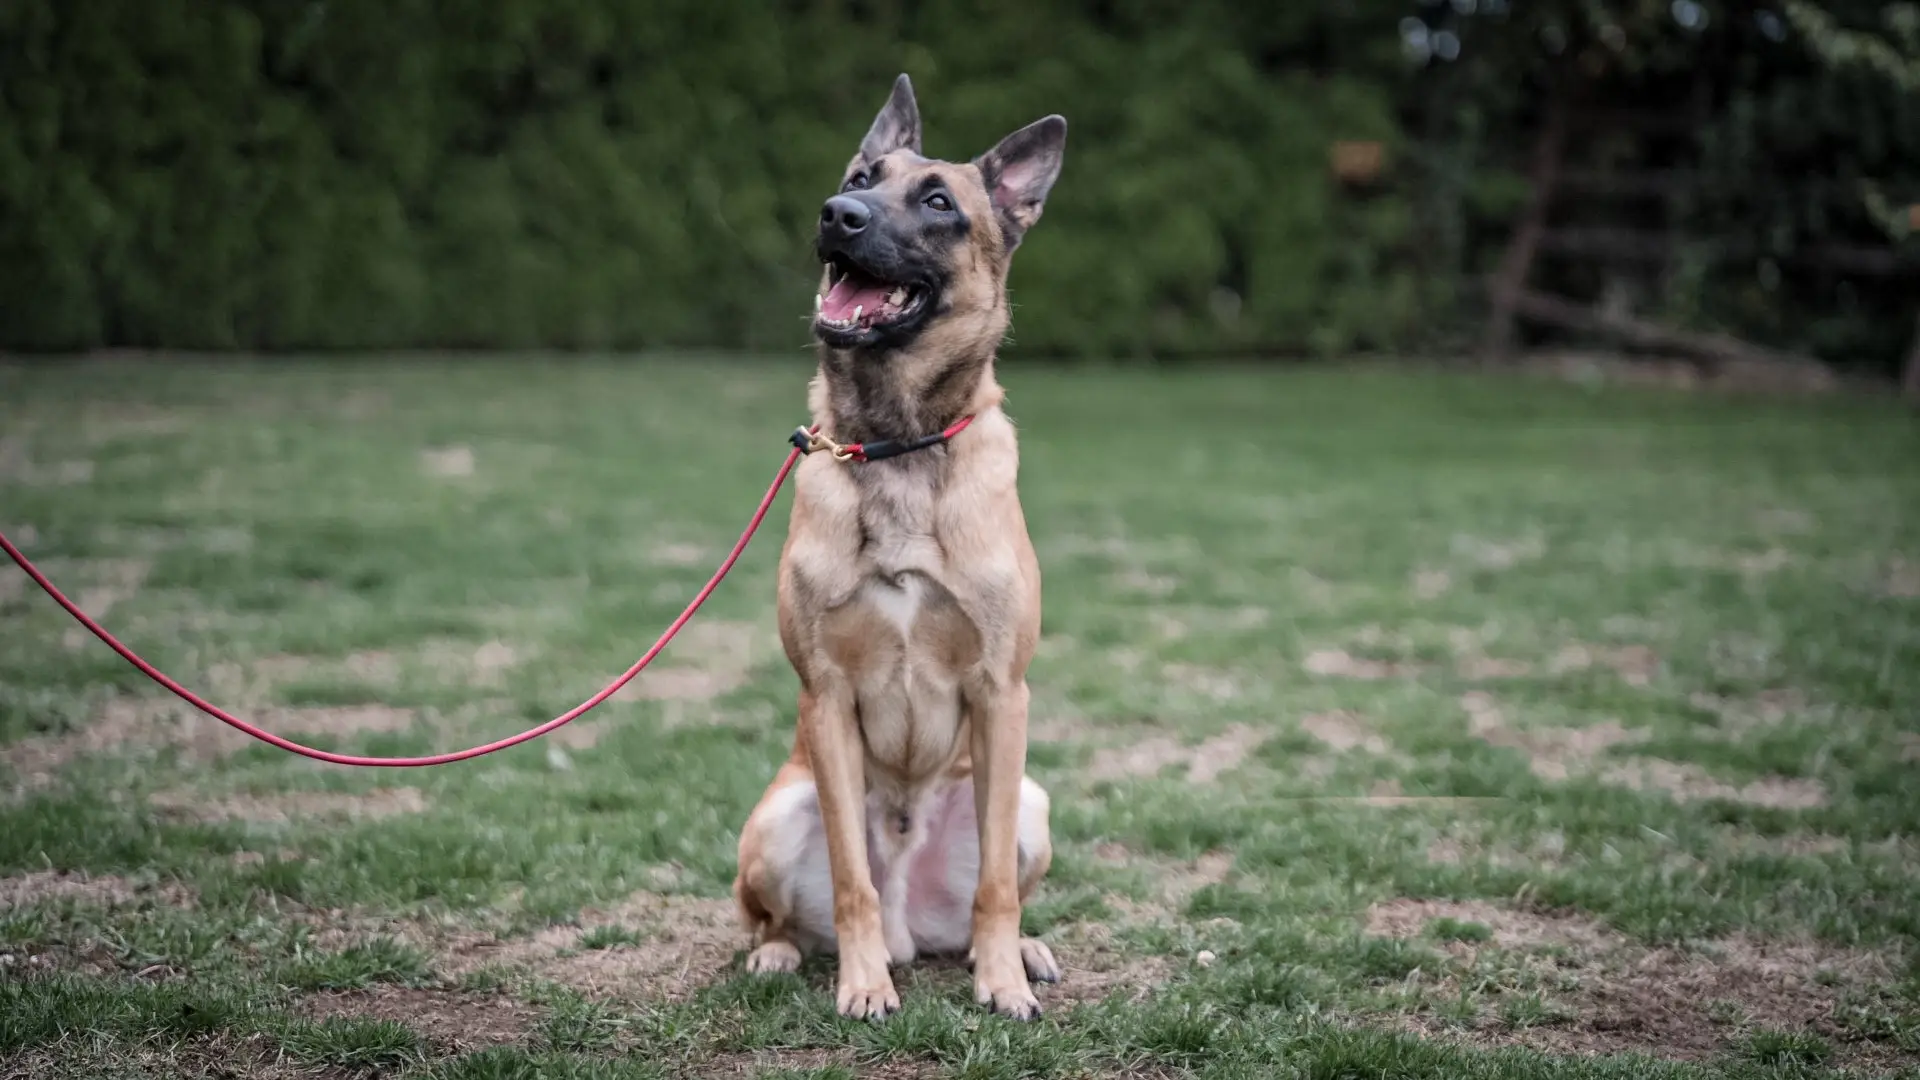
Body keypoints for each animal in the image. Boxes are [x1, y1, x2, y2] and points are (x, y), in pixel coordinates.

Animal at [729, 71, 1067, 1014]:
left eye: (939, 202)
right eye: (859, 175)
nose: (837, 213)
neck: (896, 445)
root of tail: (919, 929)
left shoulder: (1002, 695)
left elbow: (995, 887)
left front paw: (1001, 980)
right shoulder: (827, 696)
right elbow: (854, 879)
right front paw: (863, 983)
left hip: (1031, 802)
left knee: (999, 887)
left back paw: (1019, 951)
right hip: (777, 817)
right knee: (778, 916)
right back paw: (788, 954)